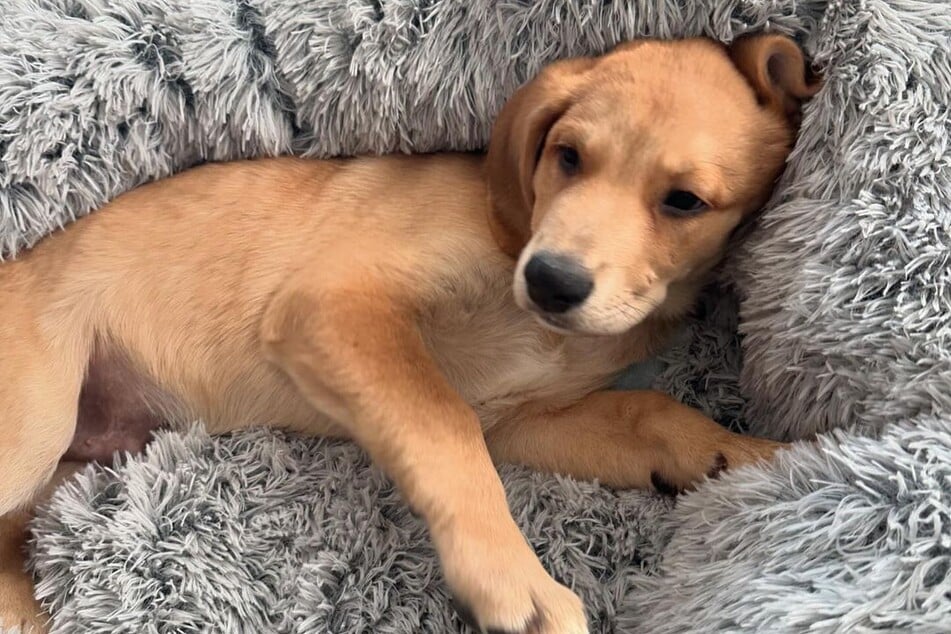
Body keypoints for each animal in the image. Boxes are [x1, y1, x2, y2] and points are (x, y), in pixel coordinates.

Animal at [0, 33, 820, 632]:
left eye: (683, 201)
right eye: (567, 156)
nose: (550, 281)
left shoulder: (523, 420)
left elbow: (648, 411)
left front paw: (749, 456)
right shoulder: (333, 307)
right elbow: (442, 427)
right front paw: (512, 582)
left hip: (69, 466)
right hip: (34, 429)